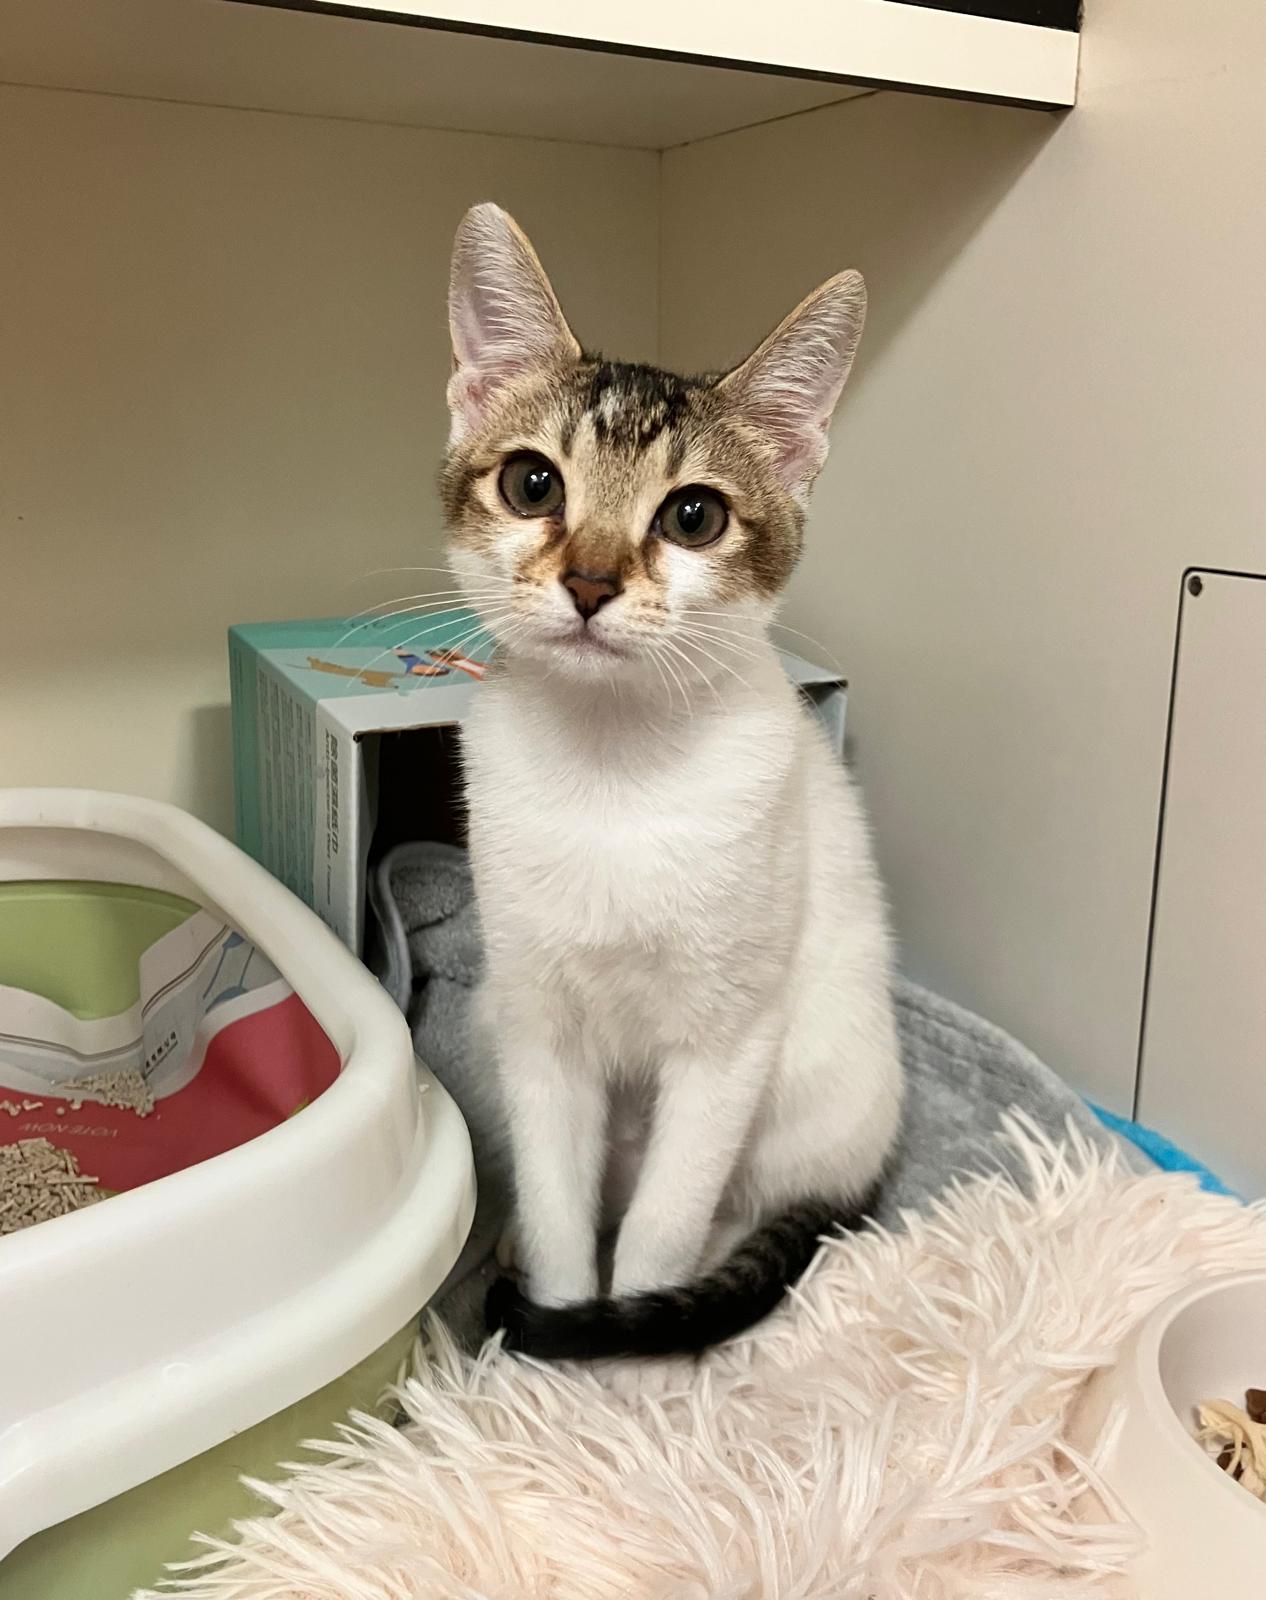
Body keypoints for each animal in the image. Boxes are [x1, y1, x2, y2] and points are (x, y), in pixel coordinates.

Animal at [439, 202, 903, 1360]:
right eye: (532, 483)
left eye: (694, 516)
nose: (591, 581)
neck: (615, 768)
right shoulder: (539, 1032)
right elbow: (562, 1212)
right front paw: (556, 1333)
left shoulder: (727, 1045)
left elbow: (658, 1227)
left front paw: (622, 1364)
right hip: (489, 1023)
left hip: (820, 1084)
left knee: (739, 1208)